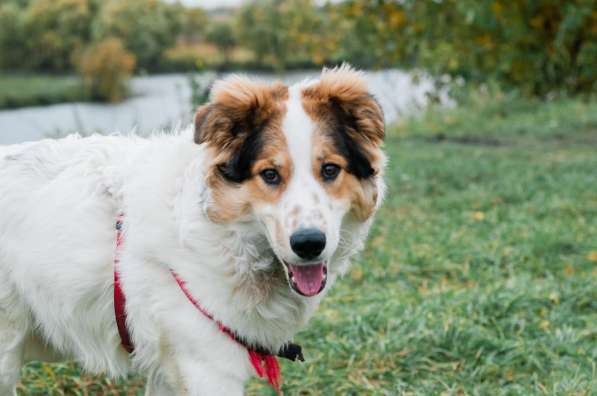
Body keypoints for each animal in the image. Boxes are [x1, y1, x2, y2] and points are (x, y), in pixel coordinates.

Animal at [0, 66, 386, 394]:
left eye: (330, 170)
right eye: (270, 174)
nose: (308, 243)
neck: (224, 237)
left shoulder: (171, 374)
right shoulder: (208, 370)